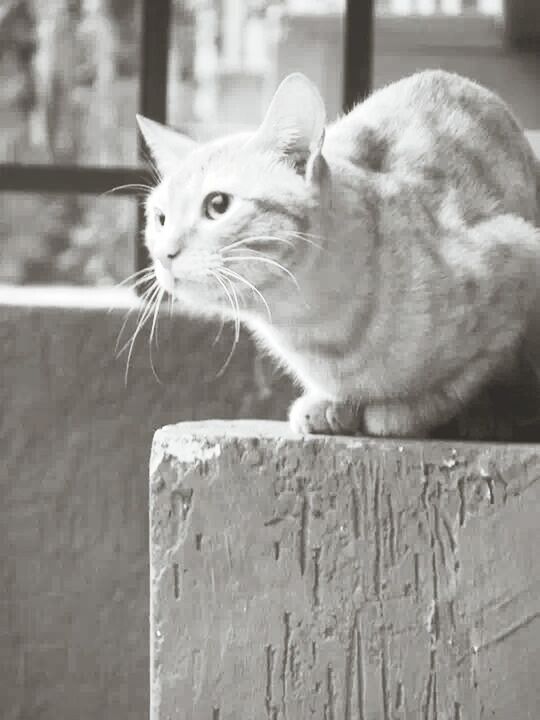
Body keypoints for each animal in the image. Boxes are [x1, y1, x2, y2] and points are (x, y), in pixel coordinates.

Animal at [135, 70, 540, 436]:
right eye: (160, 218)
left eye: (217, 204)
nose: (164, 254)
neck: (312, 330)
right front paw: (331, 404)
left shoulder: (520, 259)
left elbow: (460, 382)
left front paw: (403, 409)